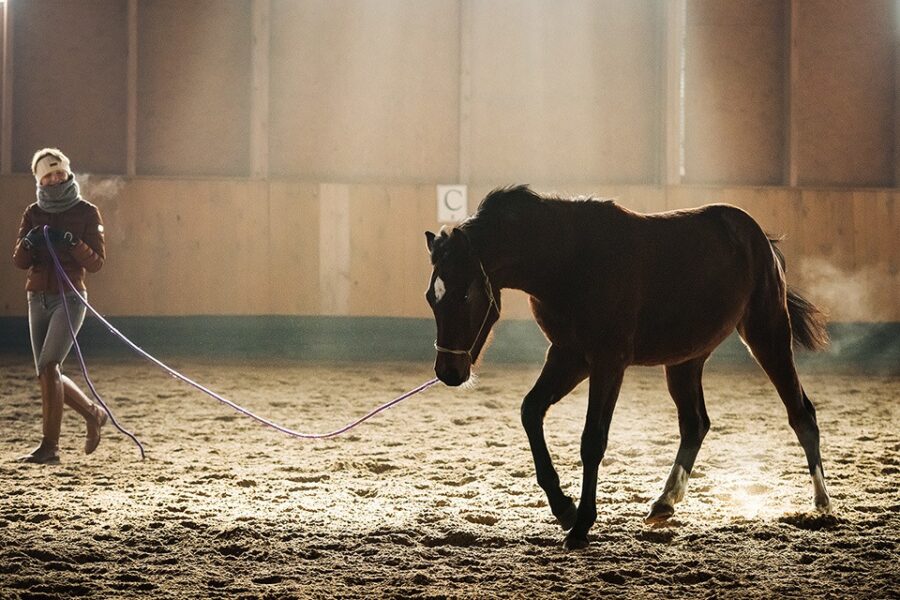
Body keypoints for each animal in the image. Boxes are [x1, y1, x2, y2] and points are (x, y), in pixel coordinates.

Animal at [424, 185, 831, 550]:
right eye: (431, 296)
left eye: (465, 294)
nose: (448, 371)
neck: (569, 260)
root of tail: (759, 238)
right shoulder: (569, 356)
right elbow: (531, 411)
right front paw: (564, 508)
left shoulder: (608, 361)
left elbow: (592, 440)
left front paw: (581, 526)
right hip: (685, 360)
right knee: (695, 424)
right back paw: (664, 502)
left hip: (768, 334)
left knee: (801, 414)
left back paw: (822, 503)